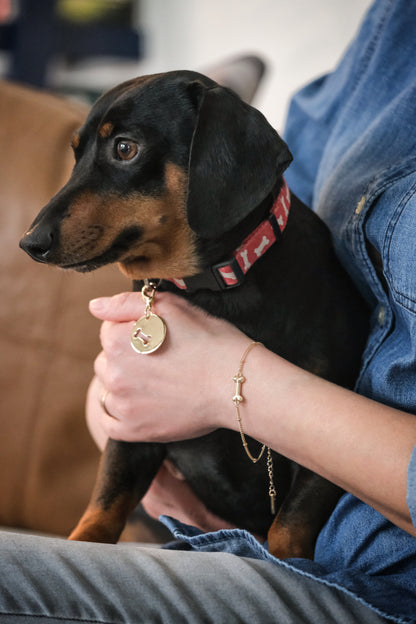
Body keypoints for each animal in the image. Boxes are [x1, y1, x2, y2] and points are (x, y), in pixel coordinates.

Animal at [20, 70, 368, 560]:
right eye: (75, 153)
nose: (30, 243)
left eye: (124, 148)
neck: (214, 286)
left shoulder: (320, 433)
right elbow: (105, 504)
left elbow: (289, 527)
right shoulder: (133, 426)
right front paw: (83, 540)